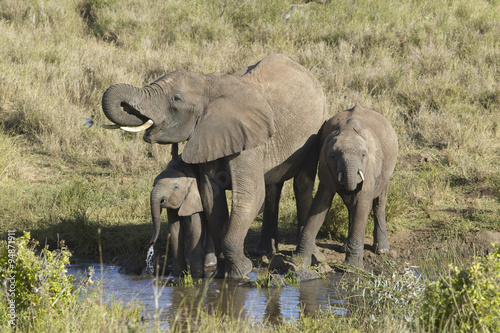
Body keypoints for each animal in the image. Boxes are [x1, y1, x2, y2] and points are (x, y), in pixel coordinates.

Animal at [102, 53, 328, 278]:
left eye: (176, 99)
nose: (127, 107)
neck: (208, 85)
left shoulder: (249, 141)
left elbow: (250, 195)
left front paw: (241, 271)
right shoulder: (208, 137)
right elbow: (211, 198)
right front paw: (222, 271)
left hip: (315, 131)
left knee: (302, 183)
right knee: (273, 186)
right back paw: (264, 251)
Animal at [294, 105, 396, 268]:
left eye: (363, 155)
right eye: (334, 156)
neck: (348, 130)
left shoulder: (371, 166)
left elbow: (362, 203)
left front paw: (352, 268)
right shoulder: (325, 166)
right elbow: (320, 204)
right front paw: (297, 262)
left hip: (386, 171)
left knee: (379, 203)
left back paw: (382, 250)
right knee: (350, 205)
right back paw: (345, 248)